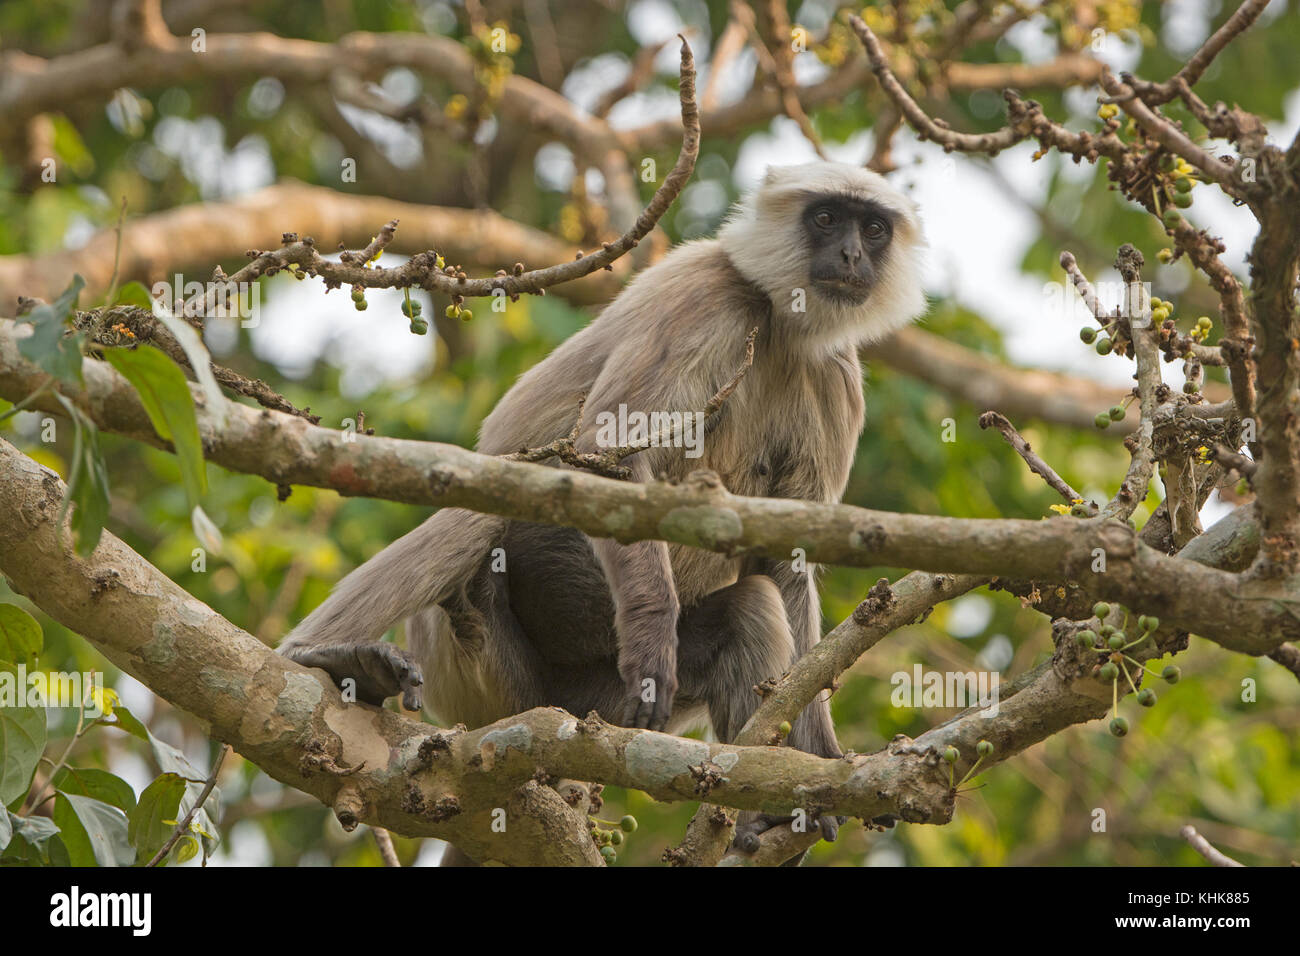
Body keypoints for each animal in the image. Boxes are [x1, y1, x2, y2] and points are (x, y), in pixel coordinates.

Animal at [276, 160, 925, 858]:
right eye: (826, 218)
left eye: (874, 228)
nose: (852, 254)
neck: (779, 321)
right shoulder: (705, 298)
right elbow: (604, 455)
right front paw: (650, 633)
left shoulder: (836, 375)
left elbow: (786, 562)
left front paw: (819, 762)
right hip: (469, 666)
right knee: (482, 511)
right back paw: (321, 658)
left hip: (586, 701)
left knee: (750, 609)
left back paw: (755, 816)